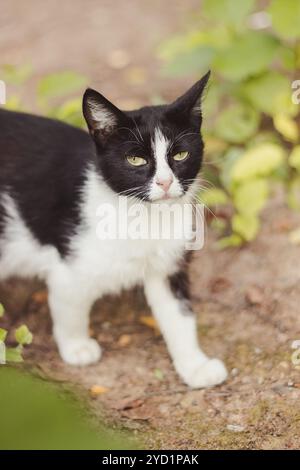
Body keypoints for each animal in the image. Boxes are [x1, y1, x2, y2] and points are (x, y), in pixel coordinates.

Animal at [0, 72, 227, 390]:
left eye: (181, 154)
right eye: (136, 160)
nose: (165, 182)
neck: (142, 216)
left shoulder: (167, 265)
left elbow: (178, 315)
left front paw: (194, 366)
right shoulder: (69, 266)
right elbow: (69, 305)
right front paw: (77, 347)